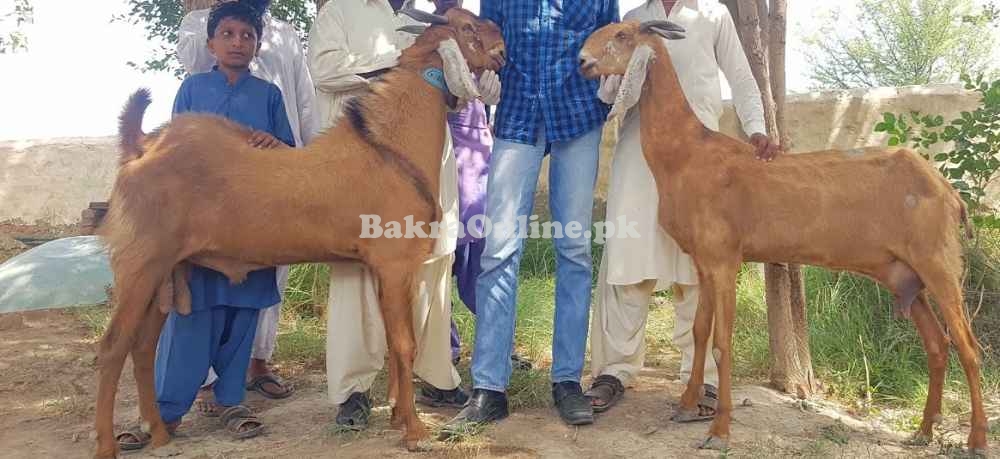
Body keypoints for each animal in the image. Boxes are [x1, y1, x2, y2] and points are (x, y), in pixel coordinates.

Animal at [91, 9, 504, 458]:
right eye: (466, 28)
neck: (390, 147)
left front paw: (396, 416)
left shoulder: (384, 270)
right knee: (112, 348)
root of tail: (142, 149)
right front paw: (413, 430)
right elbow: (404, 343)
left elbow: (394, 343)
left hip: (166, 272)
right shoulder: (396, 265)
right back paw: (108, 444)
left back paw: (159, 432)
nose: (502, 47)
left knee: (142, 346)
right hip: (139, 265)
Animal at [580, 19, 984, 454]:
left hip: (938, 262)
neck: (688, 154)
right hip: (903, 275)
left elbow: (723, 341)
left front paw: (719, 431)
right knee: (937, 344)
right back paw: (924, 431)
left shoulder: (725, 259)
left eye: (622, 35)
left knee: (969, 348)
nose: (582, 61)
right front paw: (687, 406)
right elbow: (700, 332)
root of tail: (949, 193)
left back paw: (977, 439)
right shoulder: (704, 262)